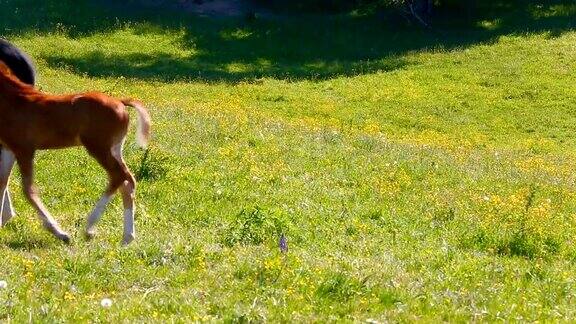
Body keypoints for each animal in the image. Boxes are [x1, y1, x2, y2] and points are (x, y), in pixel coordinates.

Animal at [0, 60, 151, 244]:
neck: (14, 101)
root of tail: (121, 102)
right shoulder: (9, 148)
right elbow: (2, 182)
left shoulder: (24, 149)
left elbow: (28, 190)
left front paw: (60, 233)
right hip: (115, 149)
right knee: (128, 181)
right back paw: (127, 237)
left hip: (98, 147)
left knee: (118, 176)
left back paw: (89, 227)